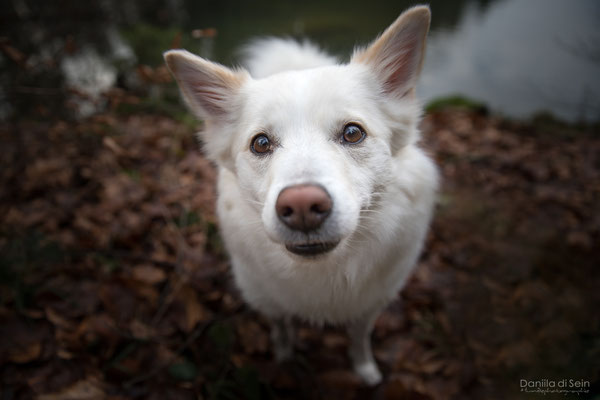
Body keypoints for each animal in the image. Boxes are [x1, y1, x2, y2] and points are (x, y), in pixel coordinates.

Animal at [166, 5, 438, 384]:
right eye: (261, 143)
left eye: (353, 133)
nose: (302, 206)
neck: (322, 273)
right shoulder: (271, 303)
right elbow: (282, 329)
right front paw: (283, 357)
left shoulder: (370, 305)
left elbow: (360, 338)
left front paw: (365, 369)